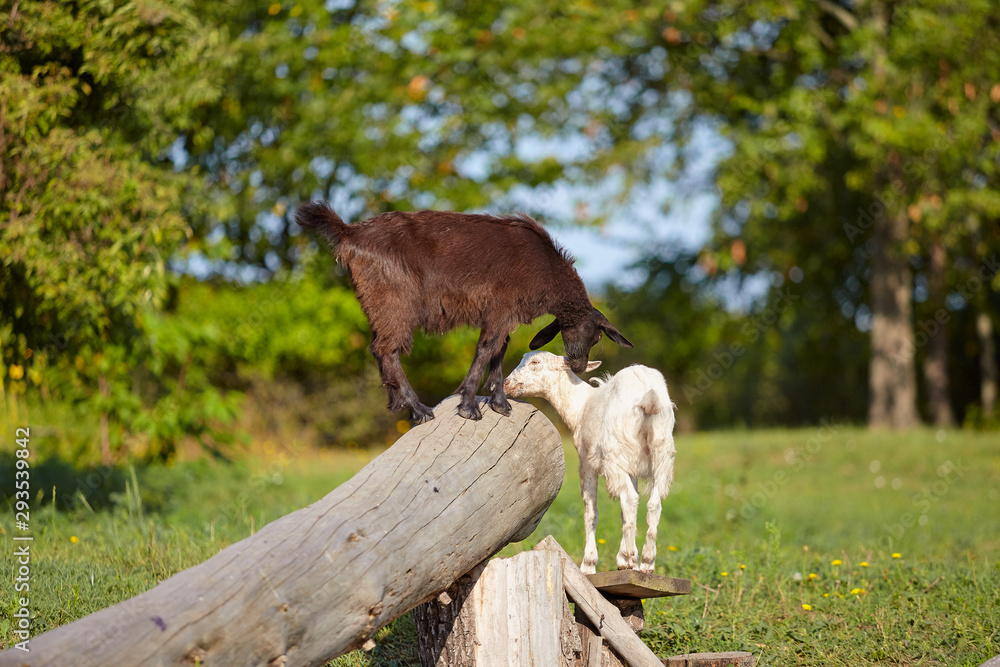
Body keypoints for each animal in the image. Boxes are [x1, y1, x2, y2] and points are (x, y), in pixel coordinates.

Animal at [295, 201, 633, 423]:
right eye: (595, 335)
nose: (578, 366)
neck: (546, 268)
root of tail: (349, 233)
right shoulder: (502, 307)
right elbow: (486, 348)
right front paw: (469, 405)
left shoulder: (505, 313)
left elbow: (499, 349)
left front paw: (499, 402)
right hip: (393, 301)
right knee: (386, 349)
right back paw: (418, 409)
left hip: (378, 304)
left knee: (379, 349)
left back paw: (400, 403)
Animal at [504, 351, 675, 574]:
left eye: (535, 362)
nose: (506, 384)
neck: (581, 405)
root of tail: (649, 397)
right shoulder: (631, 464)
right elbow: (625, 512)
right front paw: (630, 562)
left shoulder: (586, 460)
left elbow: (590, 512)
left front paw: (590, 564)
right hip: (660, 452)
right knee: (653, 502)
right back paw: (647, 561)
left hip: (616, 450)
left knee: (629, 498)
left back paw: (629, 555)